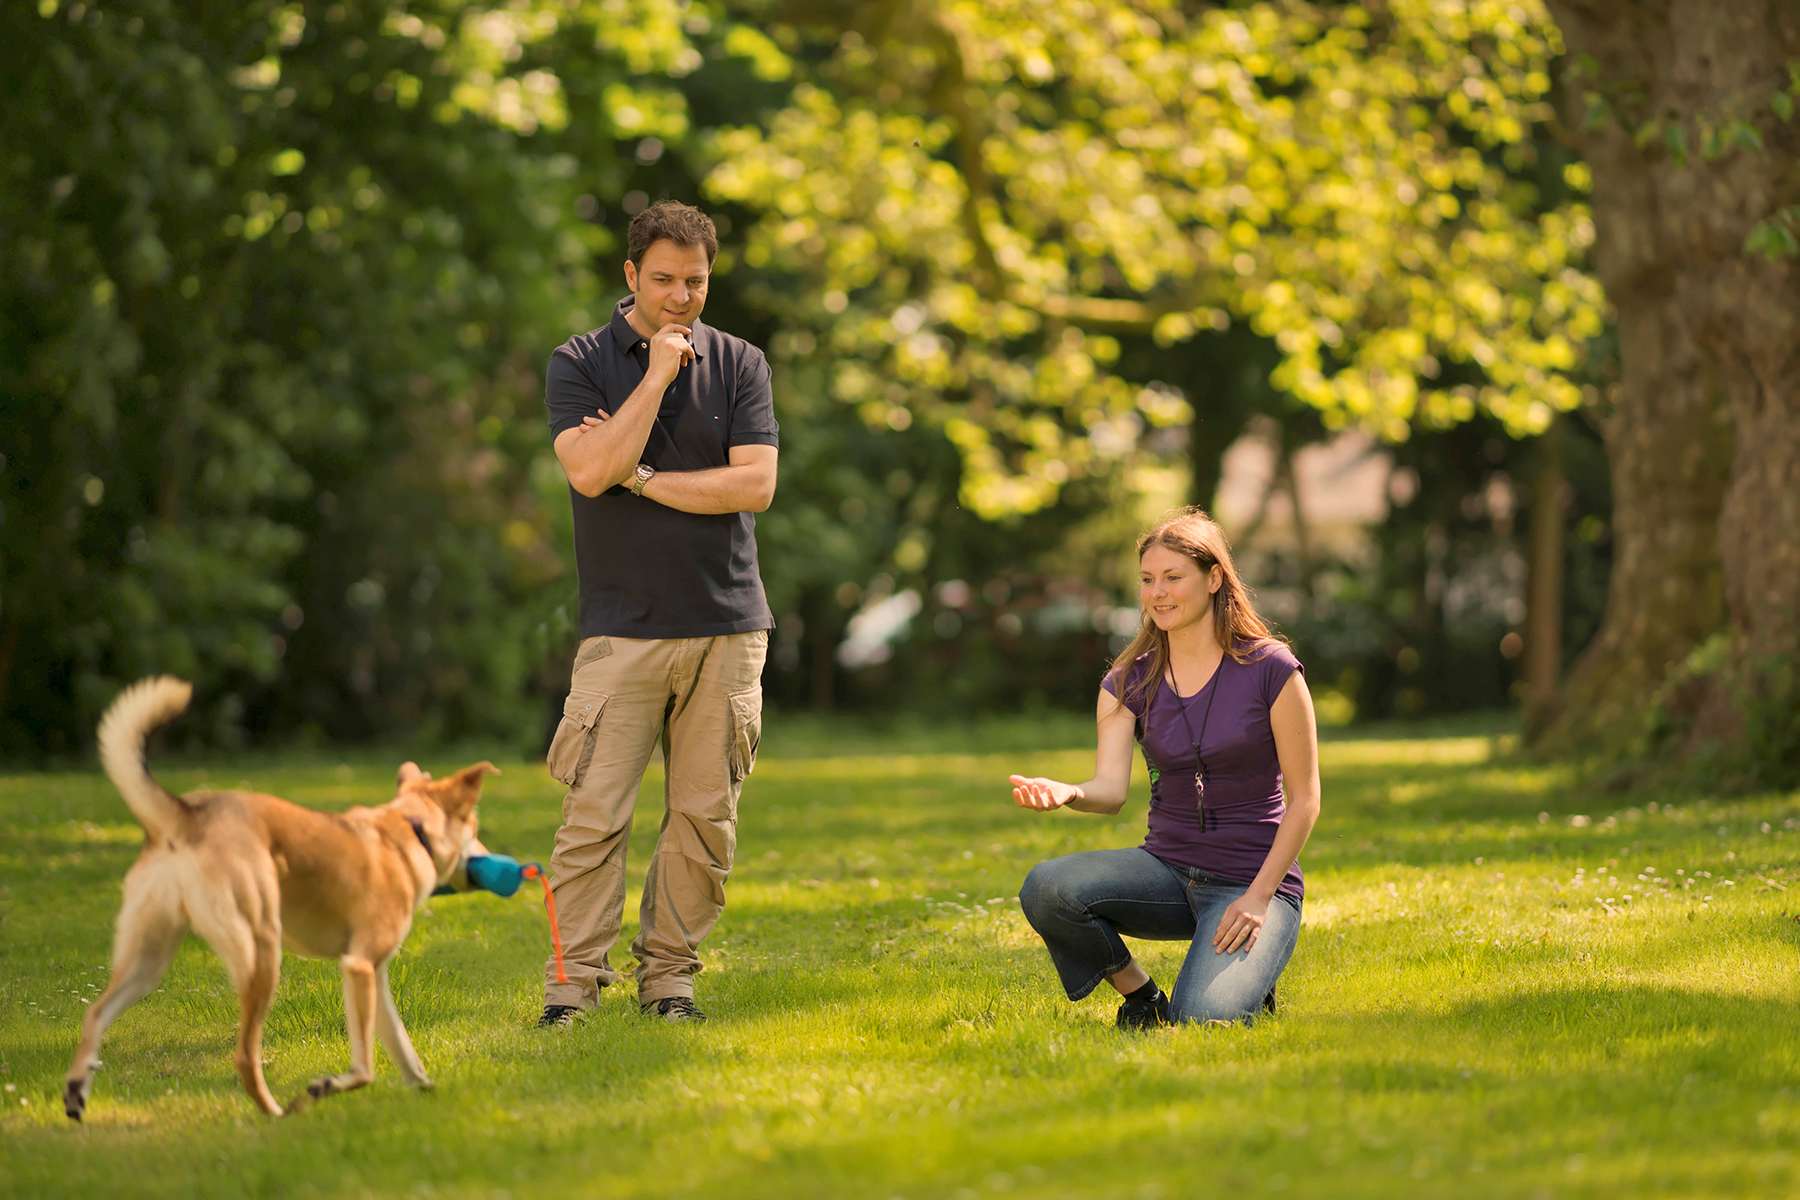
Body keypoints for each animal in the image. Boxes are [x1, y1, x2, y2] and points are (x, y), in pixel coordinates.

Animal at [64, 676, 496, 1115]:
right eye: (476, 829)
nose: (491, 858)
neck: (410, 830)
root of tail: (187, 815)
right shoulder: (359, 966)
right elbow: (365, 1068)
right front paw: (327, 1086)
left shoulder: (374, 974)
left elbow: (404, 1049)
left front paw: (427, 1091)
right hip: (262, 951)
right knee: (244, 1056)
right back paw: (278, 1114)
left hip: (149, 960)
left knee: (94, 1014)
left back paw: (77, 1090)